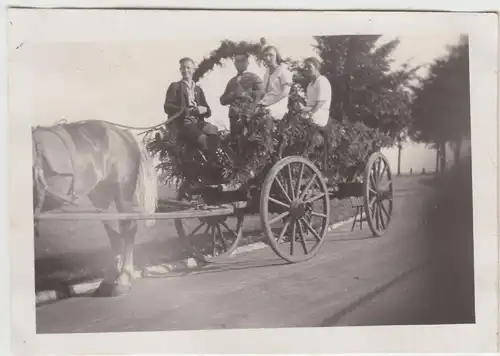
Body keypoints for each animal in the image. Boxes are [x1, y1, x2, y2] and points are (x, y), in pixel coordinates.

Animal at [32, 120, 158, 298]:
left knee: (128, 231)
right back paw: (108, 281)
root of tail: (123, 132)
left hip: (123, 193)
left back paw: (123, 280)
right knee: (115, 236)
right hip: (101, 198)